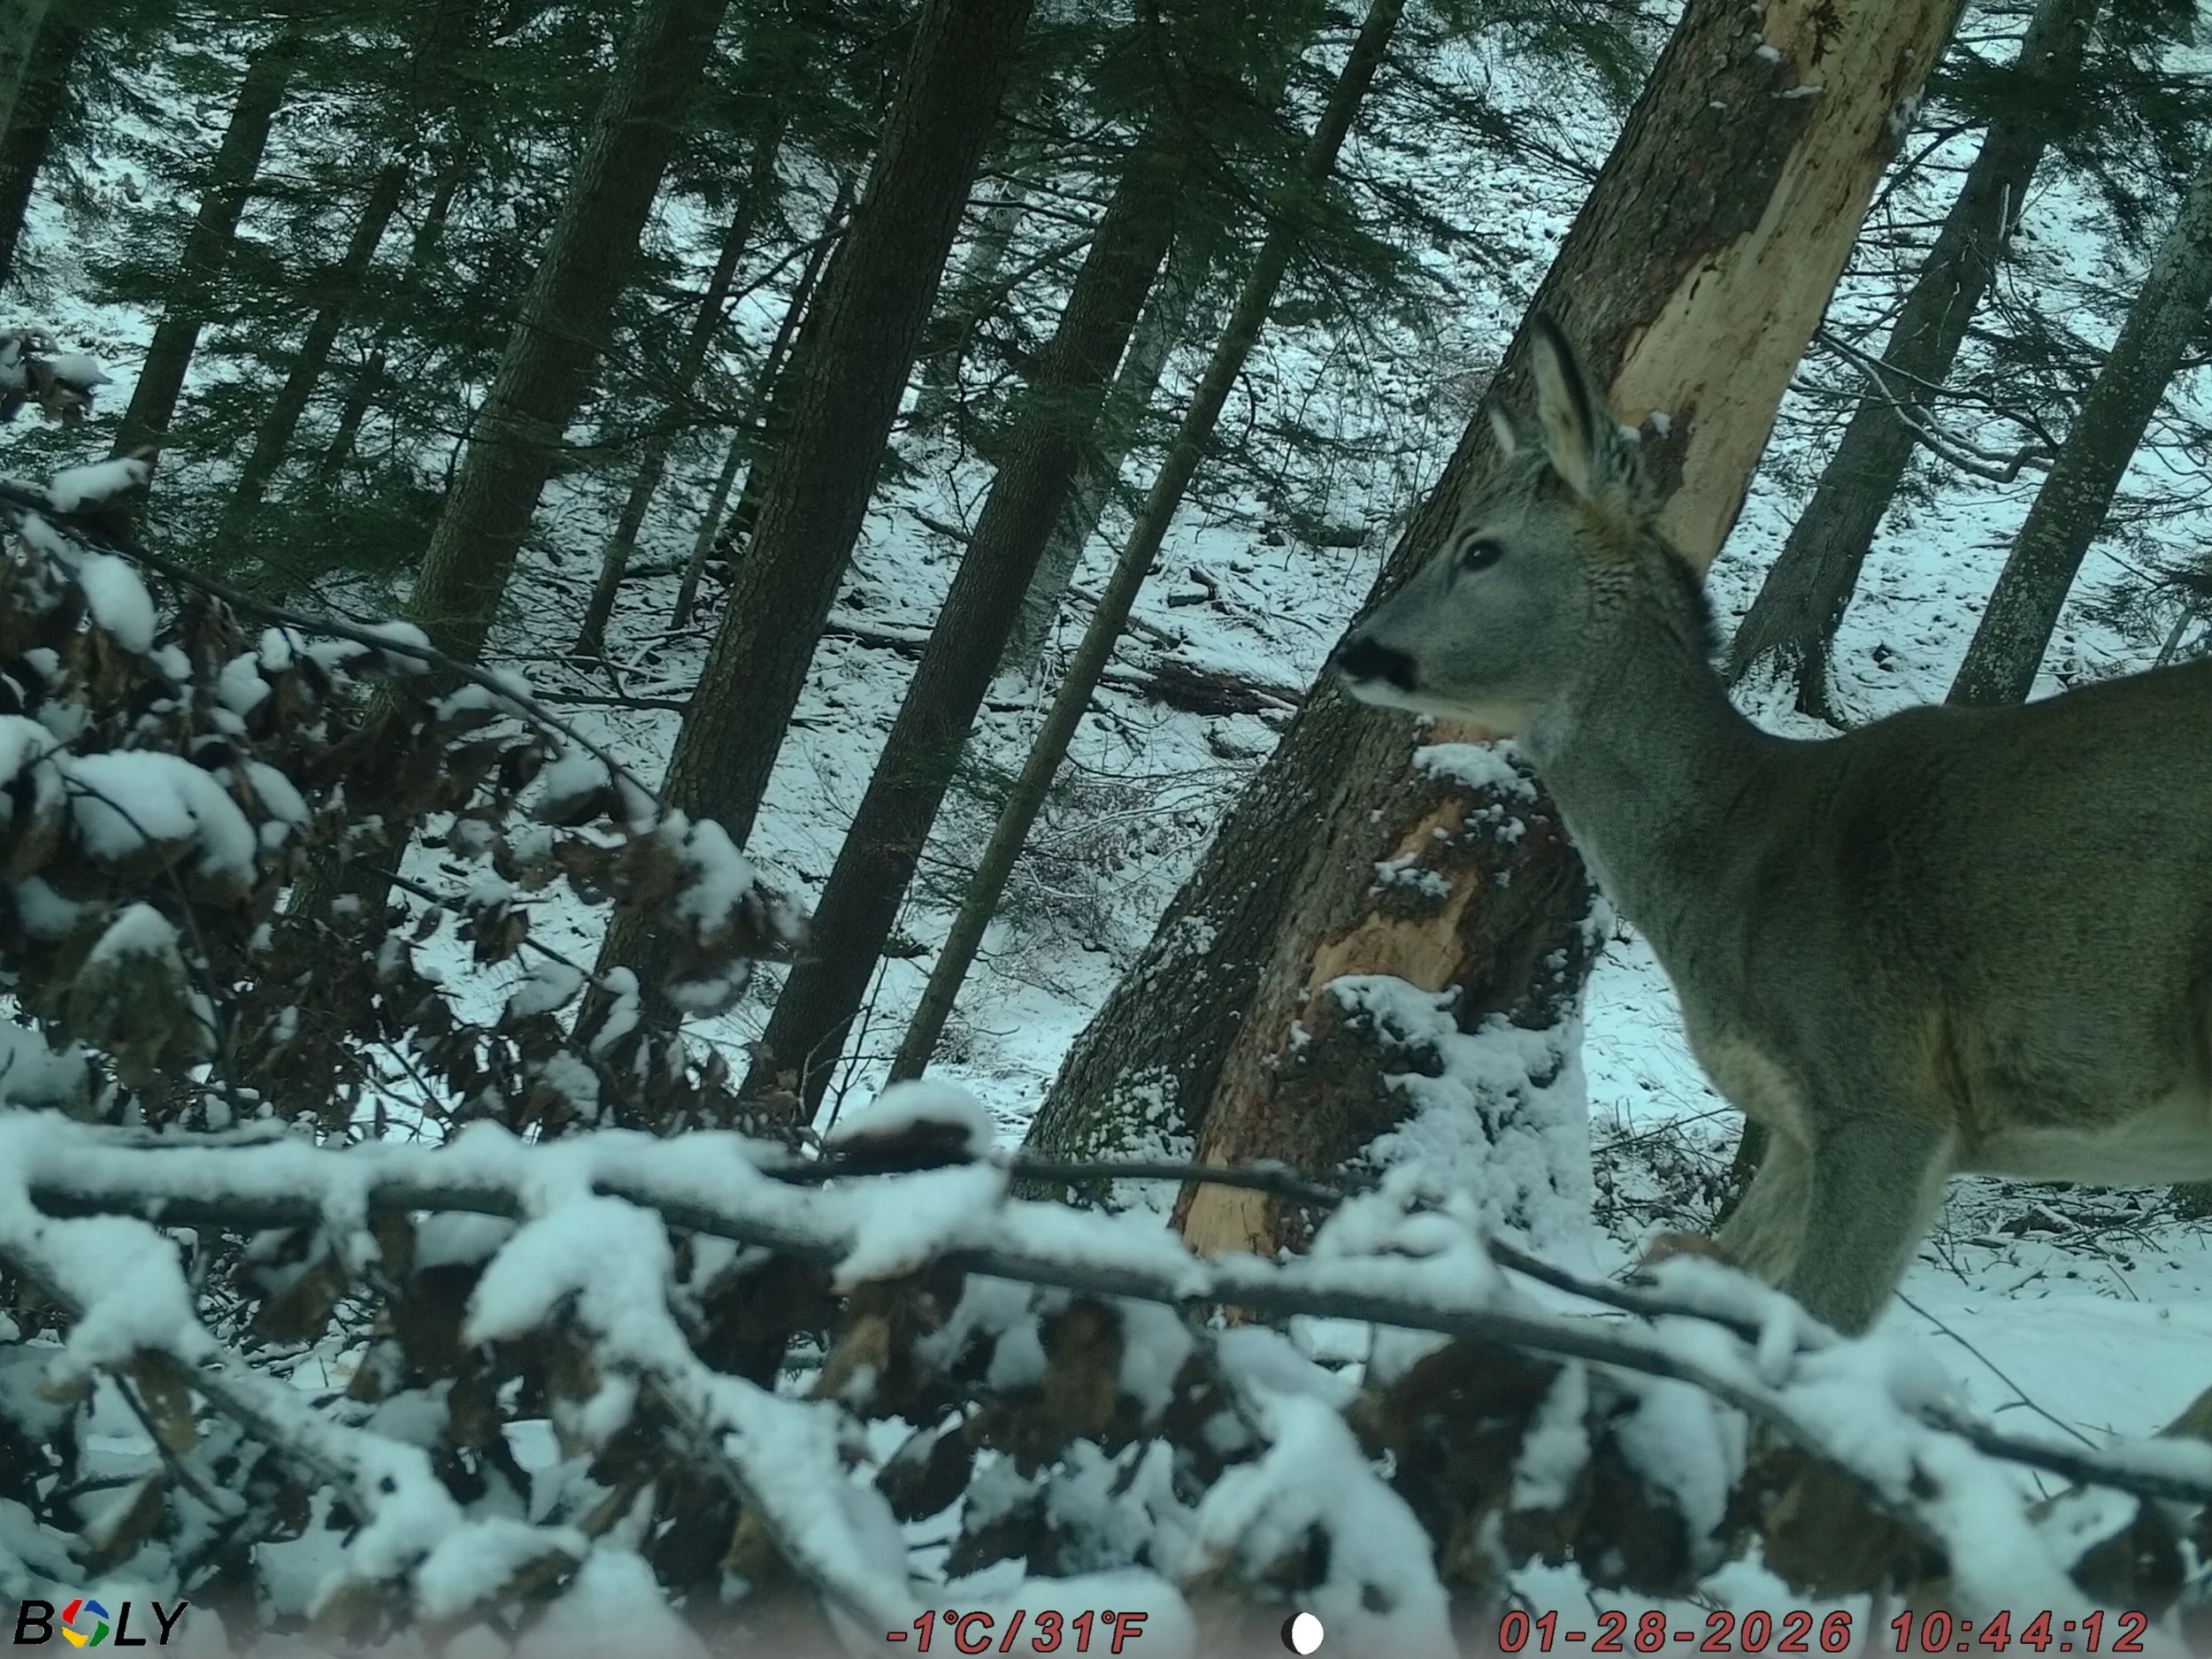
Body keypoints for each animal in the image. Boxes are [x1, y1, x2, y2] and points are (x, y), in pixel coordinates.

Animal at [1333, 316, 2212, 1336]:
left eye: (1479, 550)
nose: (1351, 649)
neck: (1736, 854)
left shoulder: (1885, 1093)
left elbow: (1815, 1333)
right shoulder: (1792, 1125)